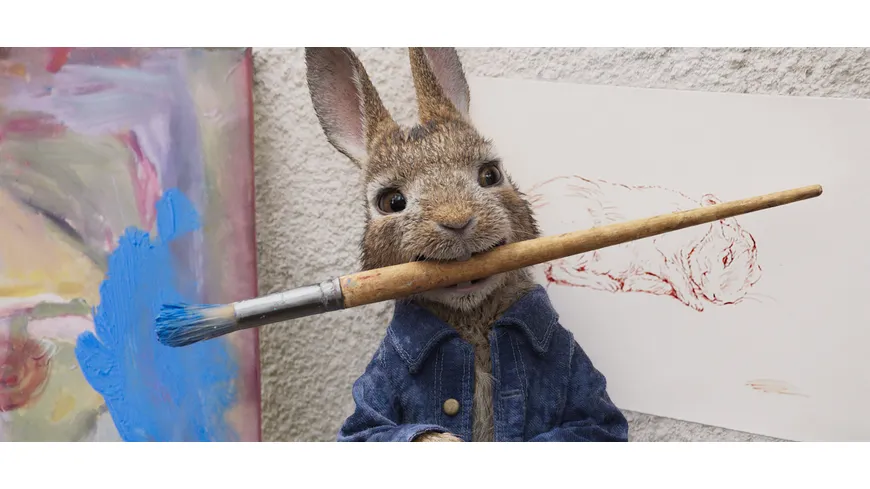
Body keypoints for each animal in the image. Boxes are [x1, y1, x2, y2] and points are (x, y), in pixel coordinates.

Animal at [526, 175, 763, 312]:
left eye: (749, 283)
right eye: (726, 257)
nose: (717, 298)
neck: (696, 236)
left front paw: (634, 283)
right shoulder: (663, 252)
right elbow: (678, 277)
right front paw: (694, 303)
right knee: (558, 271)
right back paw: (607, 284)